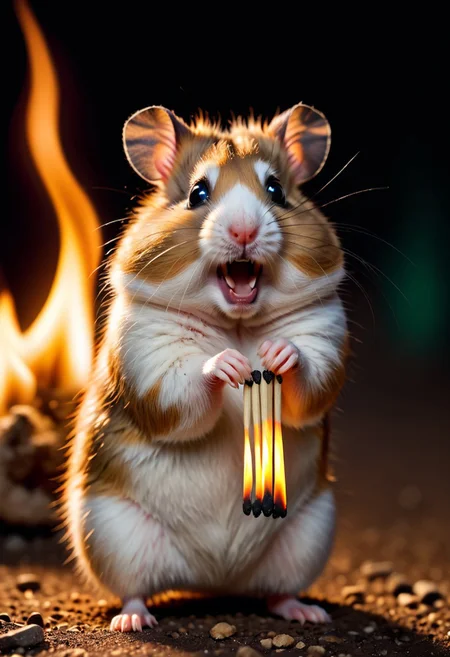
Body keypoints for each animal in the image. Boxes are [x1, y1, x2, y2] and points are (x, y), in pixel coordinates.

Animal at [64, 103, 348, 632]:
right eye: (198, 192)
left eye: (275, 189)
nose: (244, 232)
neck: (236, 322)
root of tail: (214, 577)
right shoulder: (147, 359)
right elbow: (185, 390)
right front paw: (230, 365)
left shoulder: (326, 336)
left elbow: (310, 378)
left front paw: (276, 354)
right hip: (111, 534)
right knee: (134, 590)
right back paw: (132, 621)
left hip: (309, 533)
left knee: (277, 591)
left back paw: (307, 612)